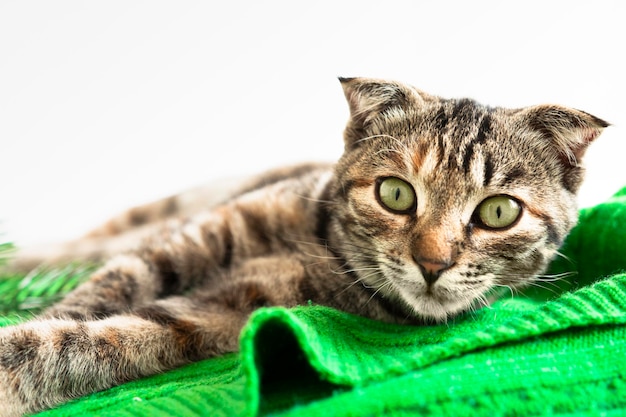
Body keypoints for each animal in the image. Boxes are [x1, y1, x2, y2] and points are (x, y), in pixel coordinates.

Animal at [0, 76, 608, 414]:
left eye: (498, 212)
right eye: (395, 193)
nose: (432, 263)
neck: (325, 251)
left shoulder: (219, 316)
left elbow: (95, 340)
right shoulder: (194, 237)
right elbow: (106, 288)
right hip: (158, 214)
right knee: (83, 248)